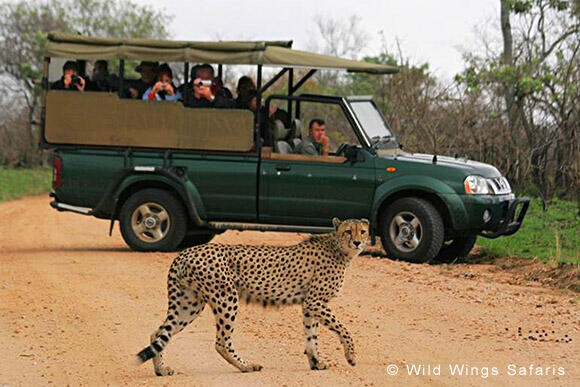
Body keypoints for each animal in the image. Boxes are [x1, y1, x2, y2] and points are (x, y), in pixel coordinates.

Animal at [135, 217, 368, 374]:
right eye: (349, 231)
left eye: (363, 231)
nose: (358, 242)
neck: (338, 248)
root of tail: (186, 252)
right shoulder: (315, 301)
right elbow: (344, 329)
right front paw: (351, 356)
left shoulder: (309, 304)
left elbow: (312, 336)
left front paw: (315, 362)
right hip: (226, 297)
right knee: (221, 341)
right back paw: (246, 366)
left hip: (189, 303)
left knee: (158, 333)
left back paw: (161, 369)